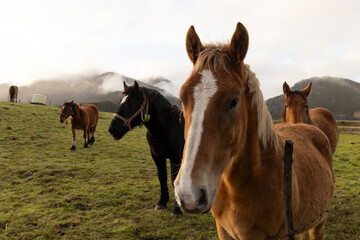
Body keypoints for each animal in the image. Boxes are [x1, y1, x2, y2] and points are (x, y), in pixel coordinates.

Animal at [107, 81, 184, 218]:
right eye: (120, 101)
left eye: (130, 104)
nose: (112, 129)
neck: (165, 128)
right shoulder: (157, 156)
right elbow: (162, 176)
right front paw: (162, 202)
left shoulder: (175, 157)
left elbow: (174, 179)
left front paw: (177, 210)